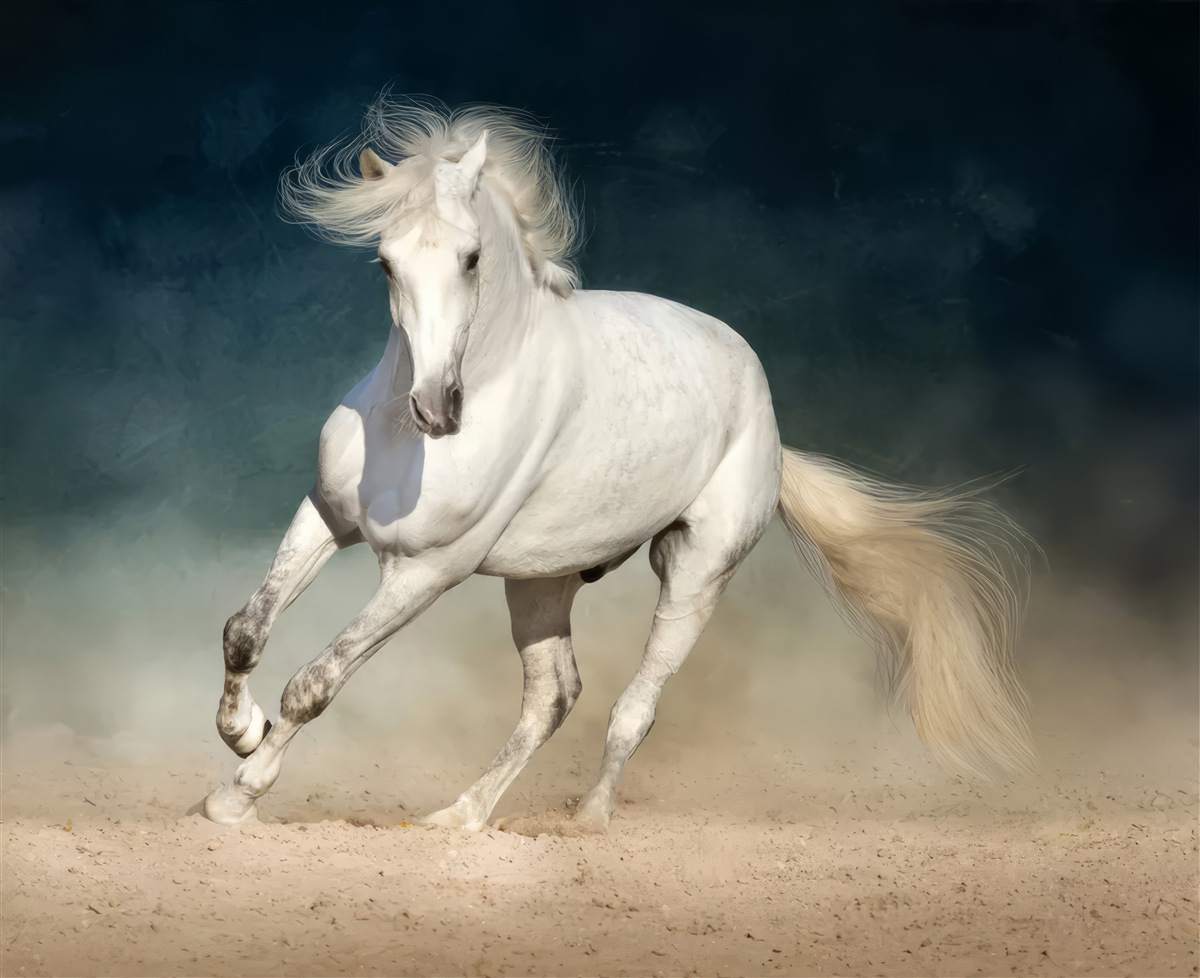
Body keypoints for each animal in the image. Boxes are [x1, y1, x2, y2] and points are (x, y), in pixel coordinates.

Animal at [202, 97, 1036, 830]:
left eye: (471, 259)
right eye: (385, 263)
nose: (436, 408)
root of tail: (767, 417)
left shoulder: (426, 571)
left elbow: (316, 683)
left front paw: (236, 796)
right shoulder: (327, 517)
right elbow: (246, 630)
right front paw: (242, 733)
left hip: (696, 573)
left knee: (634, 706)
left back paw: (588, 820)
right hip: (540, 581)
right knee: (553, 697)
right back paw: (459, 817)